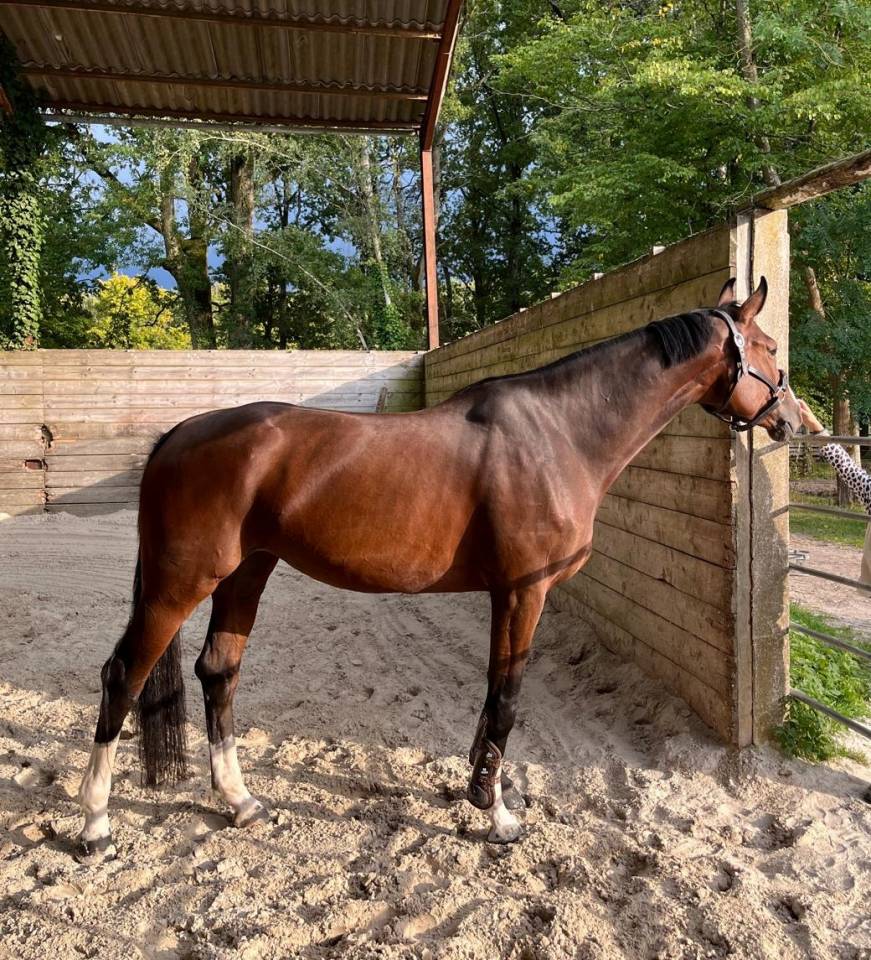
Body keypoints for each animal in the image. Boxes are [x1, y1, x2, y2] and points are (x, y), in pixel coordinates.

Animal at [76, 277, 801, 860]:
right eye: (768, 346)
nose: (793, 421)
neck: (559, 434)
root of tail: (177, 435)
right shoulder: (524, 592)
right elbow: (506, 699)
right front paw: (497, 816)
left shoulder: (505, 594)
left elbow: (492, 696)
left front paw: (477, 793)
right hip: (179, 582)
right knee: (123, 675)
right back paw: (94, 824)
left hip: (245, 574)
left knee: (217, 672)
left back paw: (239, 801)